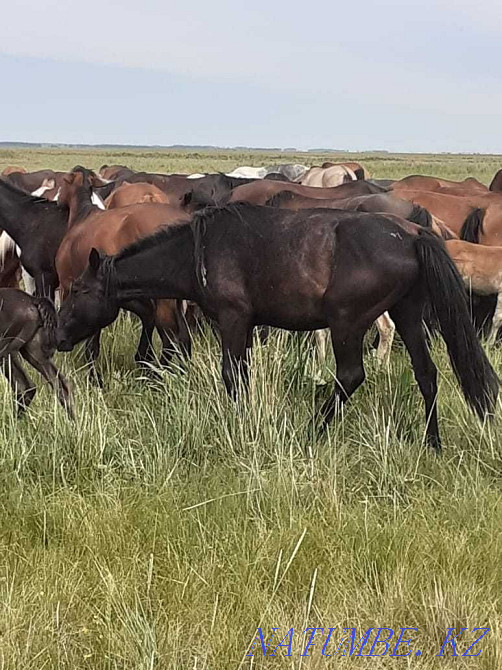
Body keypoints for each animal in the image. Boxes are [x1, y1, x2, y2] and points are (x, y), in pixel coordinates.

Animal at [55, 171, 191, 379]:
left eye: (63, 182)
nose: (57, 200)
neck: (82, 217)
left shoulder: (67, 286)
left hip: (165, 301)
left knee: (171, 339)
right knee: (183, 338)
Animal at [55, 203, 498, 451]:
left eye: (78, 290)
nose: (57, 336)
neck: (198, 250)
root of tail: (412, 234)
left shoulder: (233, 320)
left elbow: (232, 375)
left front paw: (238, 422)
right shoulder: (247, 327)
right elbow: (242, 374)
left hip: (347, 322)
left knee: (350, 376)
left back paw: (313, 431)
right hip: (407, 314)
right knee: (426, 374)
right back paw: (432, 443)